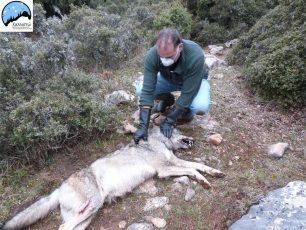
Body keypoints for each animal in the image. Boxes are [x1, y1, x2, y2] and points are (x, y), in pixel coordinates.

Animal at [2, 126, 225, 229]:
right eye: (180, 130)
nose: (194, 139)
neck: (160, 141)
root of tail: (58, 188)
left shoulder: (175, 162)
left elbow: (199, 166)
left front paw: (213, 174)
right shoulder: (163, 169)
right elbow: (193, 171)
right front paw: (204, 181)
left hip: (88, 215)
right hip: (91, 206)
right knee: (62, 226)